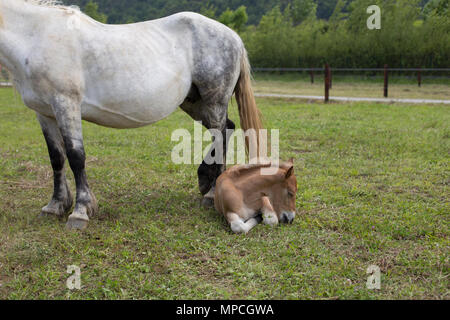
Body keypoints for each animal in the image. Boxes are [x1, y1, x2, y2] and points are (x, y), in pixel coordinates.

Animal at [0, 0, 262, 230]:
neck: (37, 36)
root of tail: (233, 36)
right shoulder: (45, 112)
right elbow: (56, 158)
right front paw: (55, 206)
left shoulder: (66, 104)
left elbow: (76, 157)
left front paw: (80, 212)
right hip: (194, 102)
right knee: (226, 129)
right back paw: (206, 181)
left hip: (214, 100)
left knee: (220, 135)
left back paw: (210, 194)